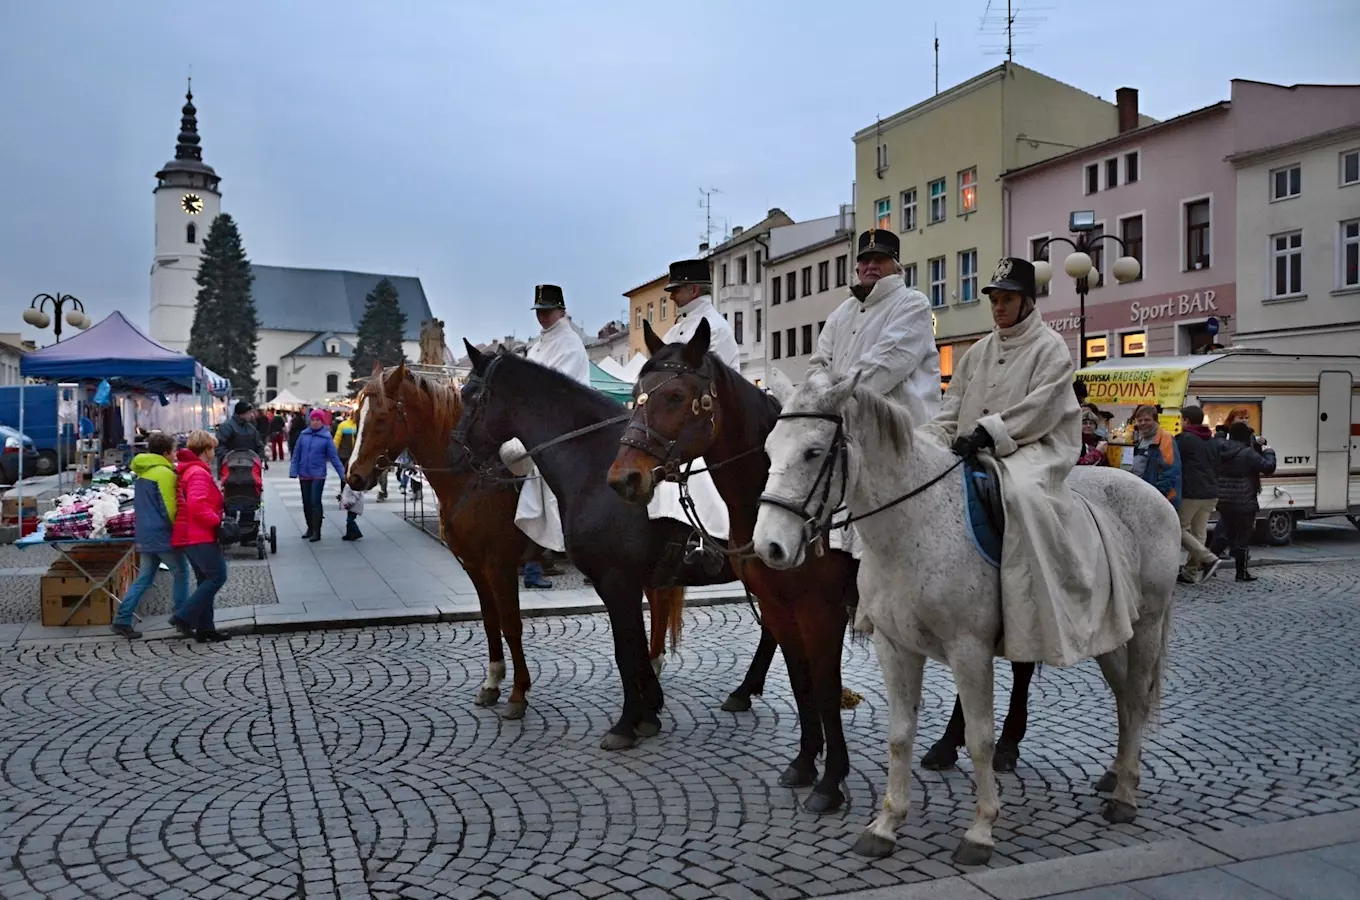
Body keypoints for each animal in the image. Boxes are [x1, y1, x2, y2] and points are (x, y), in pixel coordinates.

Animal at [345, 364, 701, 723]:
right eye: (356, 415)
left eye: (382, 417)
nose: (354, 477)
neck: (474, 479)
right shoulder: (474, 567)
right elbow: (490, 622)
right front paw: (492, 682)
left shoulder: (499, 566)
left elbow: (511, 624)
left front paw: (517, 694)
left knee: (658, 603)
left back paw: (652, 669)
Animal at [451, 345, 761, 755]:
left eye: (470, 395)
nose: (457, 450)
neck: (594, 467)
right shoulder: (620, 583)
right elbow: (635, 648)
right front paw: (649, 712)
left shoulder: (615, 581)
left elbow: (625, 649)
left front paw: (628, 723)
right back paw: (744, 691)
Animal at [612, 322, 1033, 799]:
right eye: (636, 395)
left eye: (675, 396)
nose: (624, 477)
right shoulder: (778, 604)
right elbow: (802, 682)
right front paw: (804, 761)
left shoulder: (822, 610)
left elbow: (827, 688)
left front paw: (831, 780)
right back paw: (947, 745)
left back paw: (1004, 746)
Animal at [756, 372, 1180, 870]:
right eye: (769, 450)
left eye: (813, 451)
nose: (769, 547)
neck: (915, 525)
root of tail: (1151, 493)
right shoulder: (894, 646)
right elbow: (899, 735)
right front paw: (885, 824)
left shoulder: (968, 649)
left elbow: (980, 738)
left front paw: (980, 830)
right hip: (1109, 634)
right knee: (1124, 700)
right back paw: (1116, 775)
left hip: (1146, 626)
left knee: (1136, 699)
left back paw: (1126, 796)